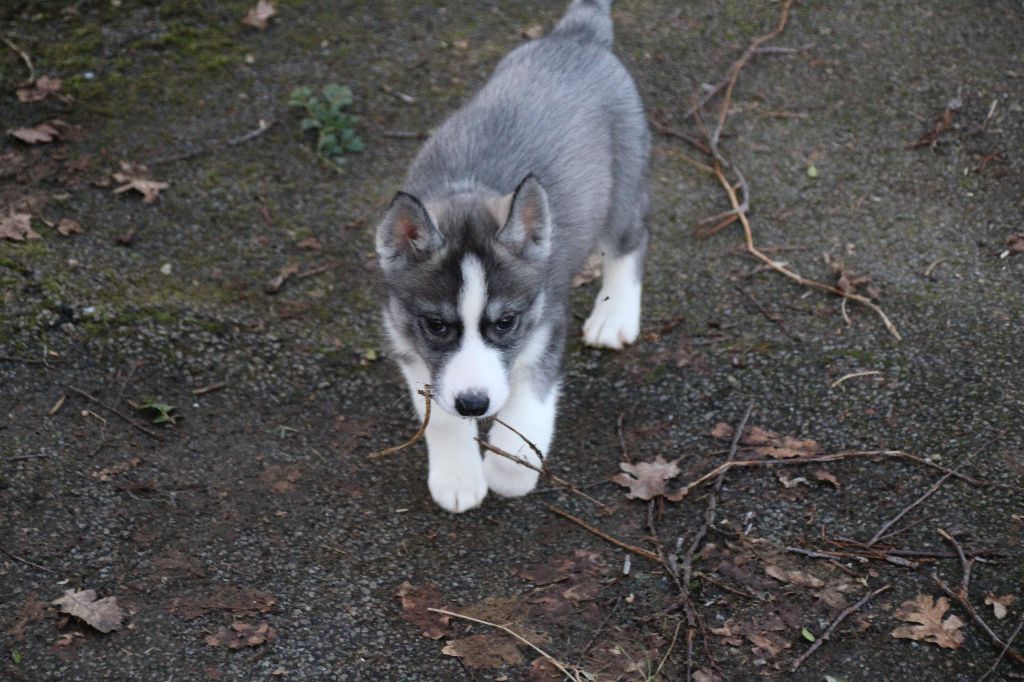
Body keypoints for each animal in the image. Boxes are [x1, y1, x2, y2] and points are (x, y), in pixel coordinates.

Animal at [376, 0, 647, 509]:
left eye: (505, 323)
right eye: (436, 325)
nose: (474, 404)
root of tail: (576, 36)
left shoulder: (545, 327)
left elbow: (527, 409)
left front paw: (509, 471)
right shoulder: (408, 344)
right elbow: (441, 418)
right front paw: (458, 477)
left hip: (625, 188)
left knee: (630, 243)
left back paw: (615, 316)